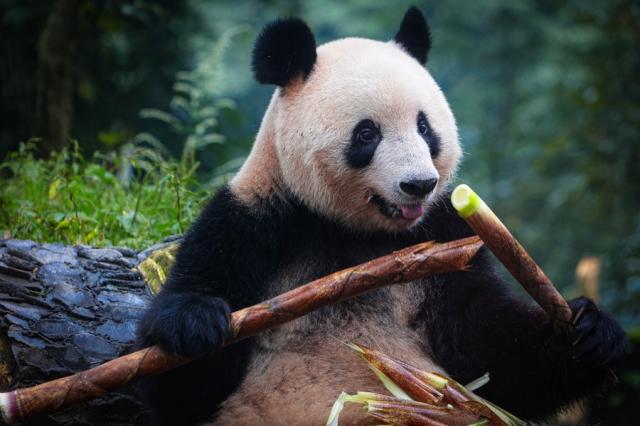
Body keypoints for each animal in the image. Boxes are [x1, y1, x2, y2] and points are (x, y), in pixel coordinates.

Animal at [136, 7, 627, 426]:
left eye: (425, 127)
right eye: (367, 133)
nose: (419, 184)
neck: (356, 231)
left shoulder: (443, 235)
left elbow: (490, 353)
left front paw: (591, 333)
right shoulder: (256, 220)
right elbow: (184, 390)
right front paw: (197, 323)